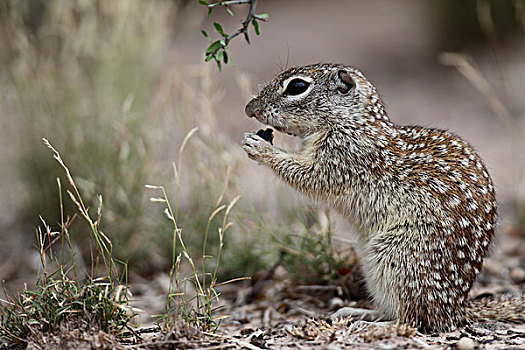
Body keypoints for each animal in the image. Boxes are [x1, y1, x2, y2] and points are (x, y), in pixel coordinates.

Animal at [242, 61, 524, 332]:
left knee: (414, 319)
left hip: (399, 256)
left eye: (297, 86)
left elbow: (309, 177)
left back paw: (371, 323)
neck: (352, 122)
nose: (249, 108)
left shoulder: (344, 157)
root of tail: (455, 307)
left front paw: (261, 148)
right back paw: (358, 312)